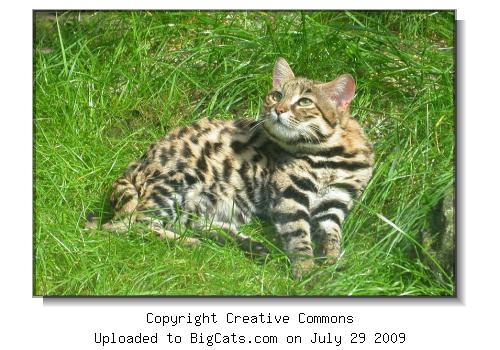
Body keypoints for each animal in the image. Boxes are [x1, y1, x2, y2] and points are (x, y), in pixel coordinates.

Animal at [87, 58, 376, 278]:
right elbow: (298, 235)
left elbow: (332, 236)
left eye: (304, 101)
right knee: (130, 225)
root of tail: (134, 166)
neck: (331, 154)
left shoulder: (335, 202)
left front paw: (333, 263)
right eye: (276, 95)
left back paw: (249, 244)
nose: (278, 109)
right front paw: (306, 270)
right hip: (181, 180)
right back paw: (190, 244)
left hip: (220, 202)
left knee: (193, 223)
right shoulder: (290, 194)